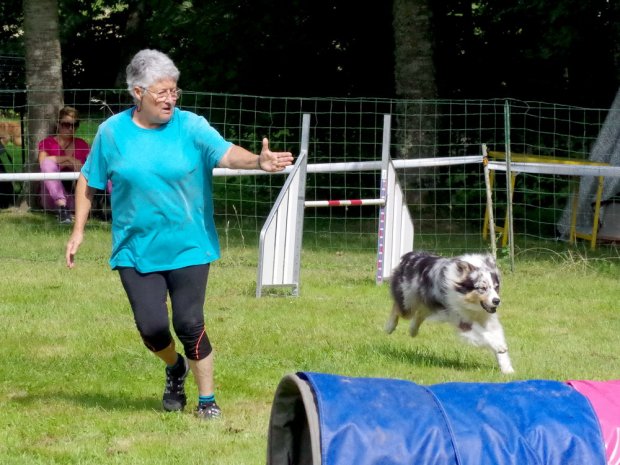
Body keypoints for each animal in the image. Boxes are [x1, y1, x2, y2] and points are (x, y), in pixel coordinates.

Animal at [386, 250, 516, 374]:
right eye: (482, 288)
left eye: (496, 287)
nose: (496, 301)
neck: (470, 304)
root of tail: (410, 255)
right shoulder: (461, 319)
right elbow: (483, 333)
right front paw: (499, 346)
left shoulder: (487, 318)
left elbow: (494, 334)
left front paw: (507, 369)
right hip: (408, 302)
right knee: (398, 307)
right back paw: (389, 327)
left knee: (420, 313)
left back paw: (413, 330)